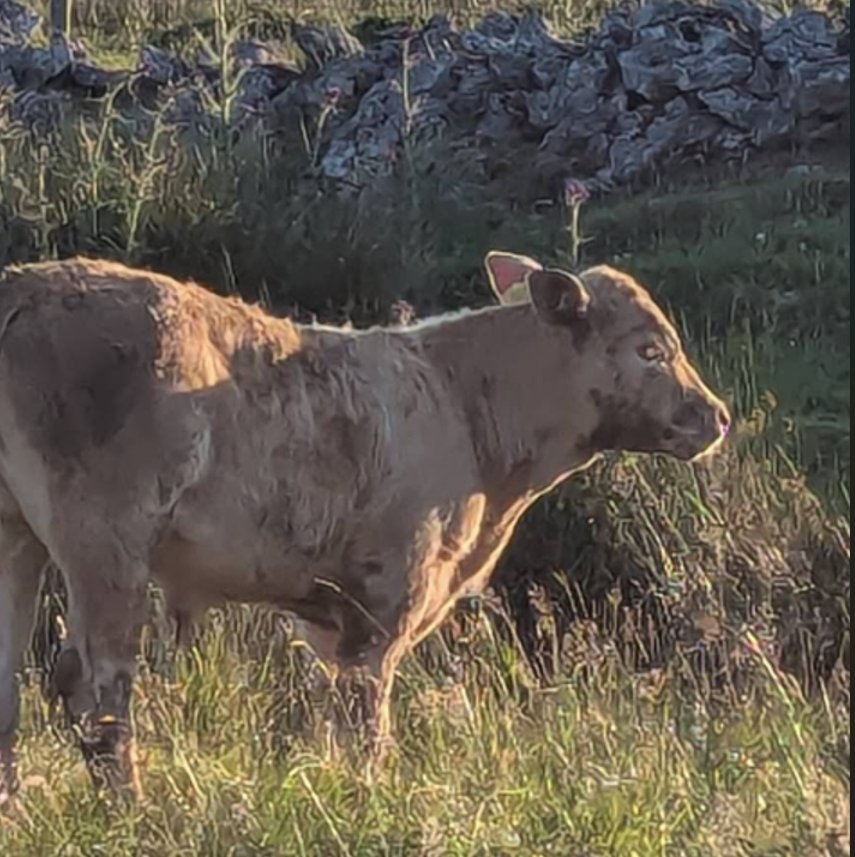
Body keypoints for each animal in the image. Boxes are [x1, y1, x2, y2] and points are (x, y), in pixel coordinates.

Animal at [0, 253, 729, 801]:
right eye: (650, 350)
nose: (716, 415)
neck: (468, 410)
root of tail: (26, 287)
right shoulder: (387, 596)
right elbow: (366, 722)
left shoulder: (331, 616)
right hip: (106, 540)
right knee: (95, 682)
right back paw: (133, 808)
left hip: (18, 537)